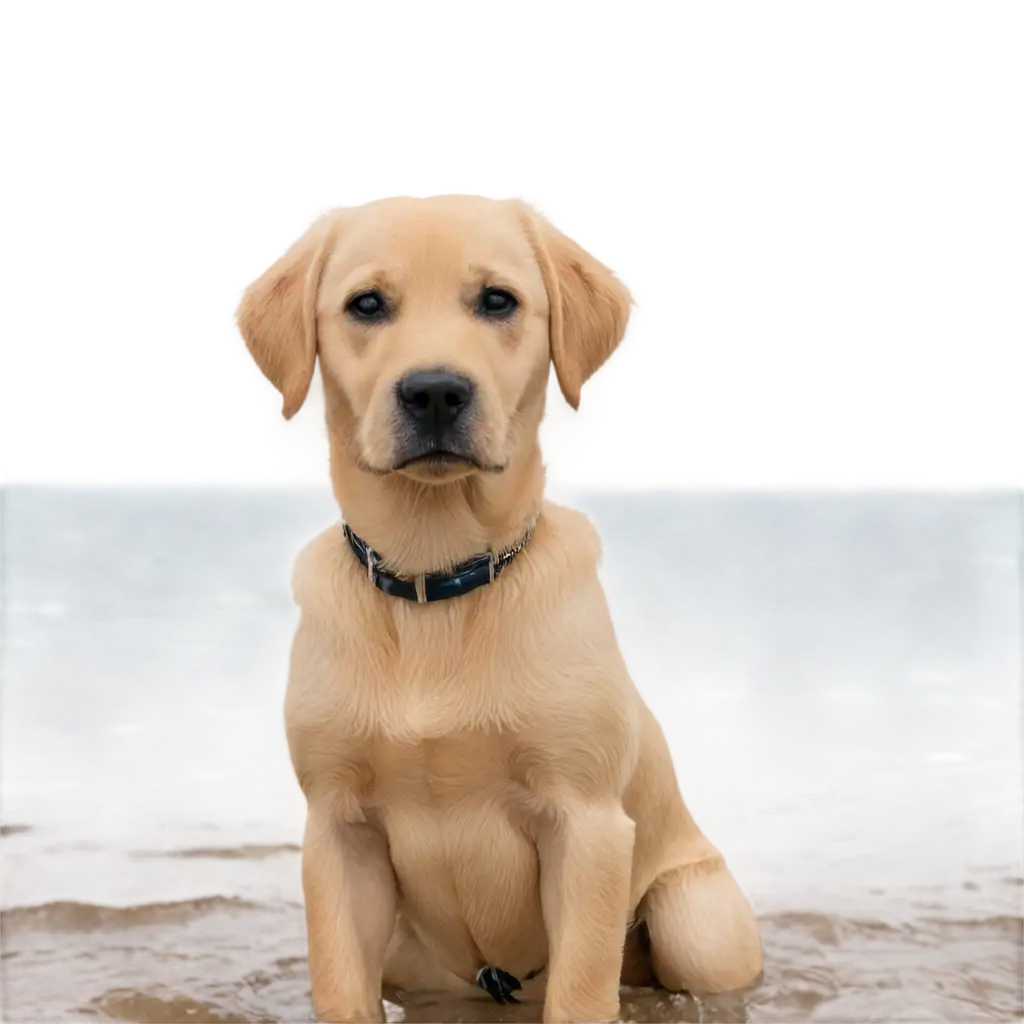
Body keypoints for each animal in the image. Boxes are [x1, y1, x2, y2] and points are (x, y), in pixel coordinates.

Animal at [226, 188, 770, 1019]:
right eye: (366, 304)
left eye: (497, 300)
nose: (435, 391)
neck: (436, 583)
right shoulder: (338, 834)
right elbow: (341, 990)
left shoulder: (586, 825)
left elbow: (580, 993)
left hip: (695, 923)